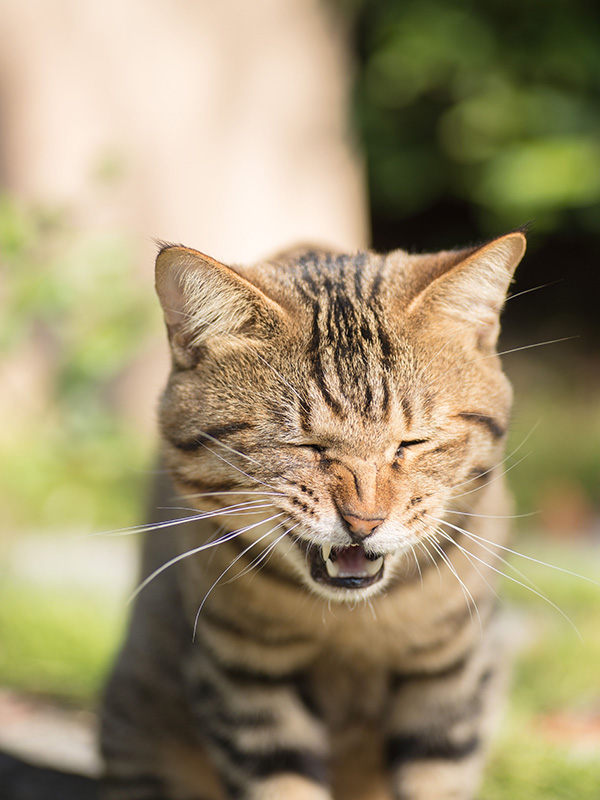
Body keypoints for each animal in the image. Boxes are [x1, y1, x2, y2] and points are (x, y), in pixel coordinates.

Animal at [101, 228, 528, 796]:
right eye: (305, 446)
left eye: (411, 443)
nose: (364, 521)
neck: (352, 623)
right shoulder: (245, 680)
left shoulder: (451, 678)